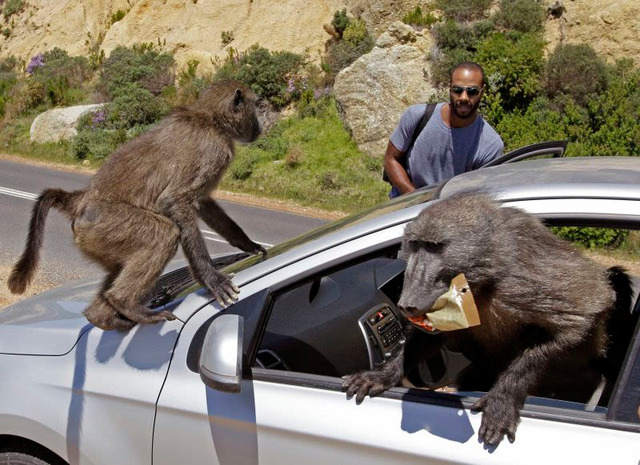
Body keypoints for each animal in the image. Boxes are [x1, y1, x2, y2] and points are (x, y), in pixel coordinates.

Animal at [8, 80, 266, 331]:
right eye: (255, 106)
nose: (260, 128)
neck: (210, 118)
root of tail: (81, 201)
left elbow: (202, 202)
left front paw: (249, 245)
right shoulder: (215, 151)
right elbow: (174, 200)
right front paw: (212, 279)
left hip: (99, 238)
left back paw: (102, 316)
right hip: (107, 222)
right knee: (164, 234)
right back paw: (127, 305)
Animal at [343, 191, 636, 446]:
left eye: (434, 247)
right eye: (415, 245)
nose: (407, 304)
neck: (483, 277)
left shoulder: (522, 282)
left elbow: (583, 315)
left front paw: (503, 399)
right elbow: (432, 335)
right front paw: (382, 375)